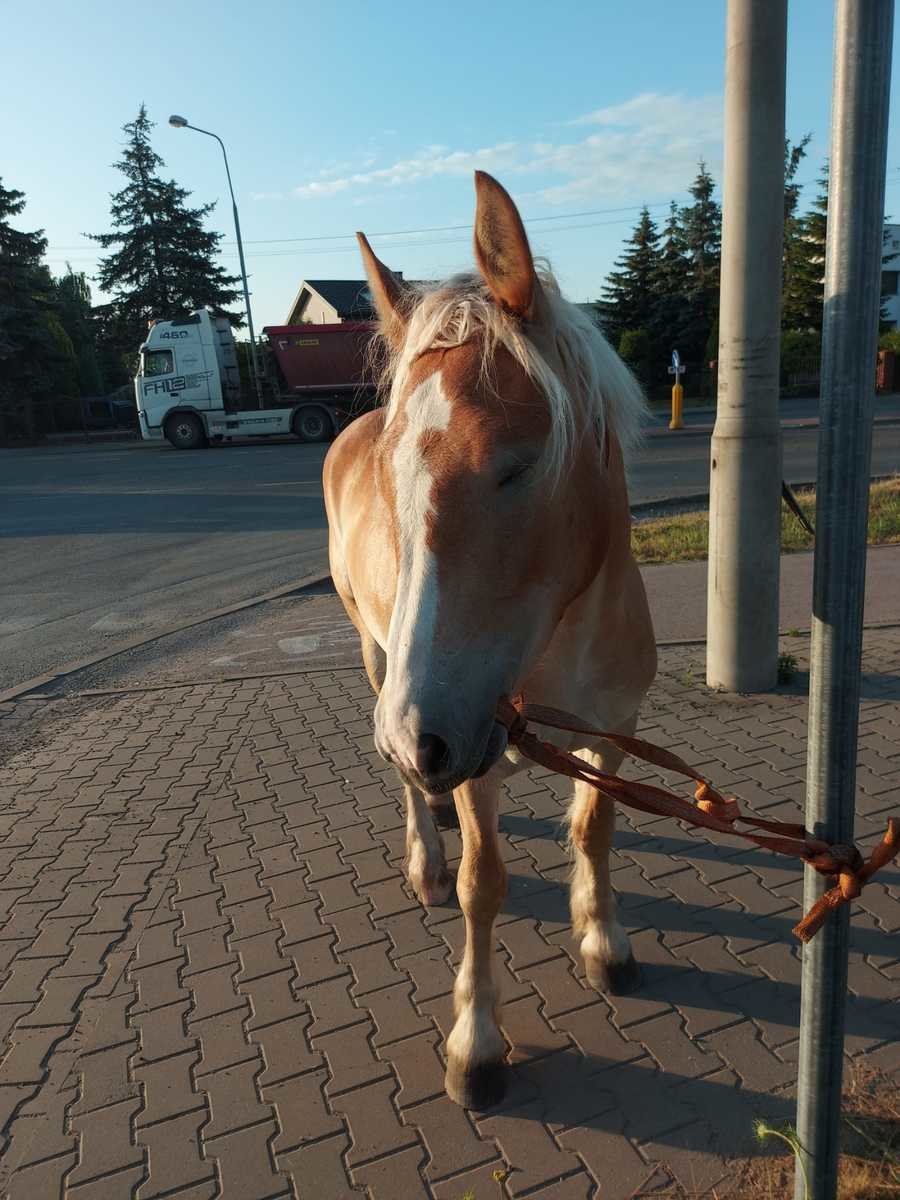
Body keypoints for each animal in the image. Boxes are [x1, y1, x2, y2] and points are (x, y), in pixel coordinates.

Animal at [324, 169, 657, 1104]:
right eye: (393, 476)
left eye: (518, 463)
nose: (422, 738)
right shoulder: (468, 736)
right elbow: (485, 885)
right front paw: (476, 1043)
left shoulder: (614, 727)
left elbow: (595, 829)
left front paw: (604, 940)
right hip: (382, 663)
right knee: (413, 795)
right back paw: (425, 853)